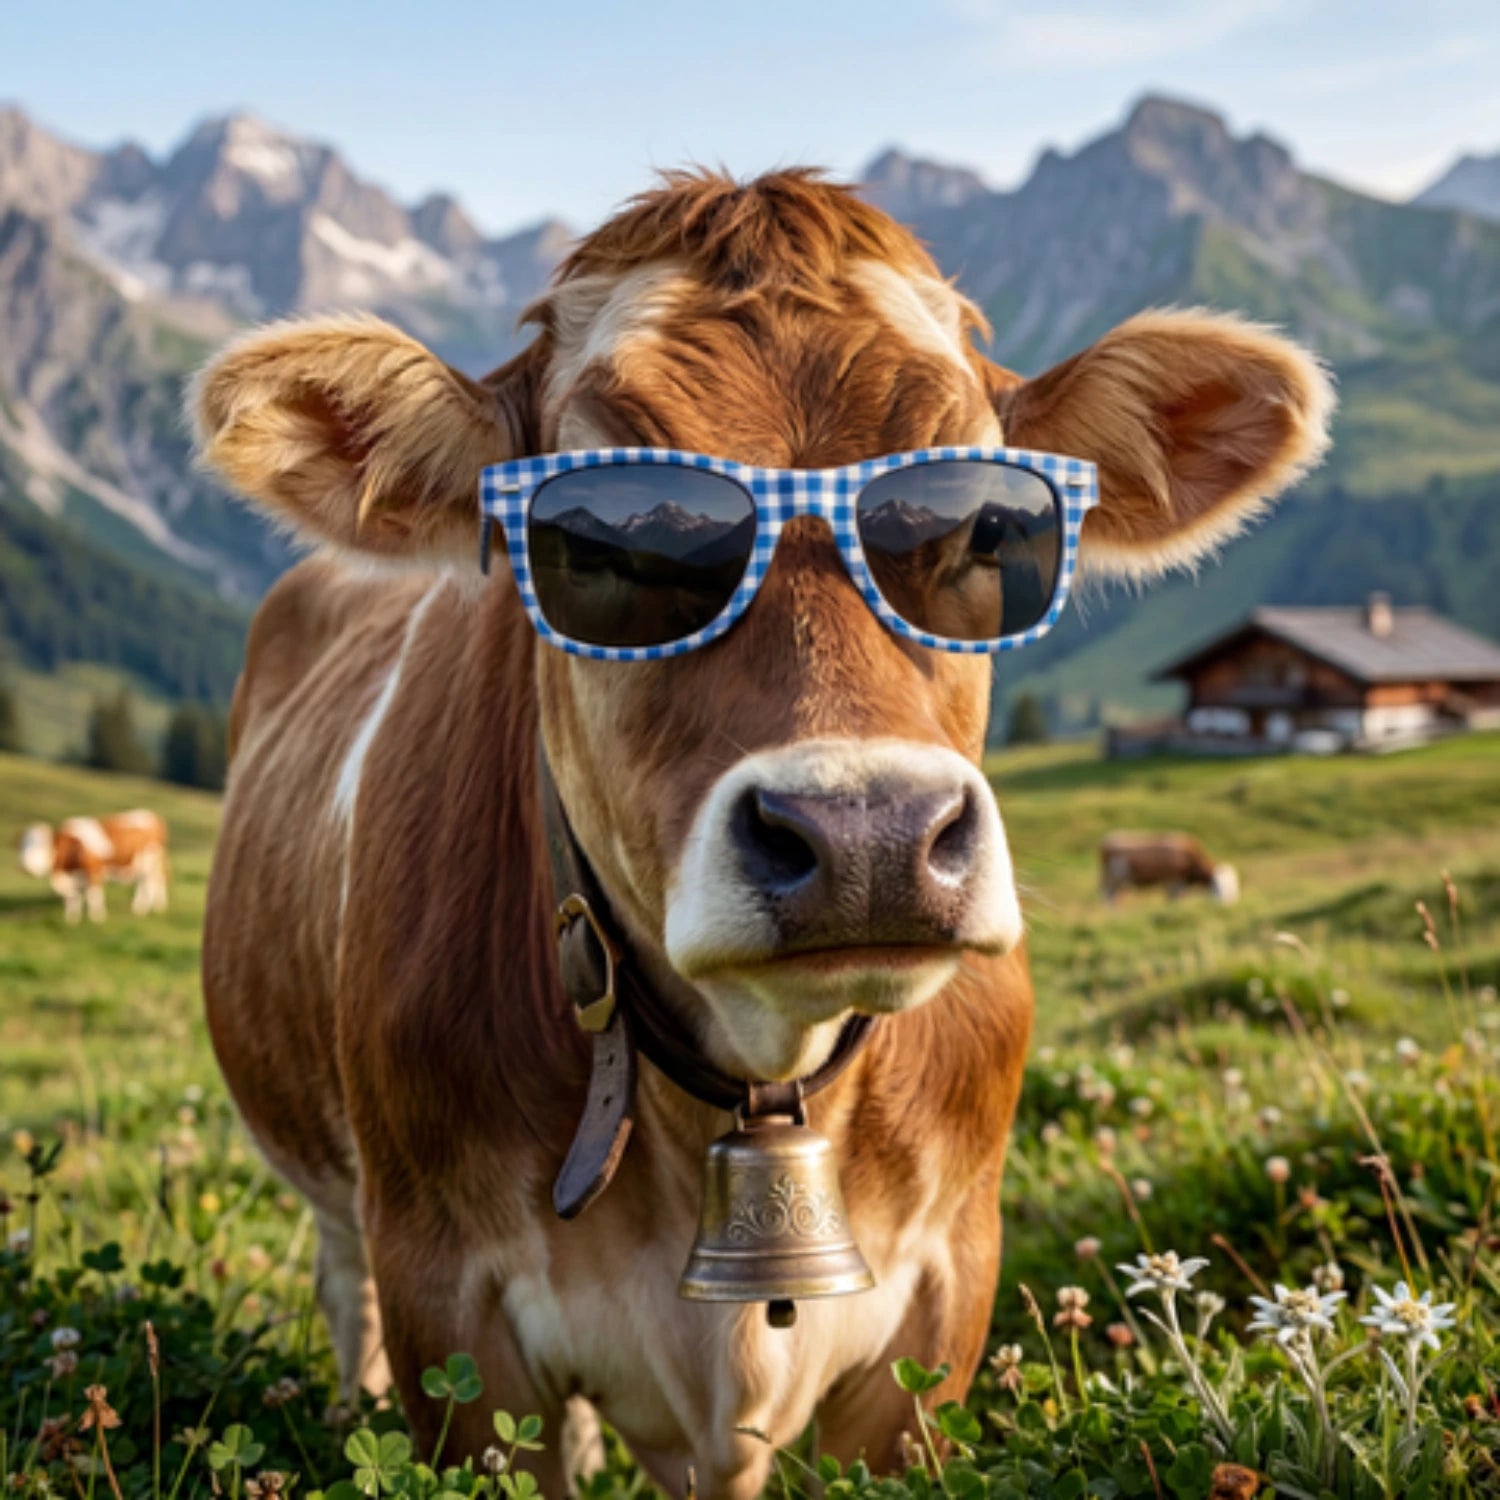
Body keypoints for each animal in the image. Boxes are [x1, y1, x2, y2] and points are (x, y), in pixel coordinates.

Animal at [18, 810, 169, 923]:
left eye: (42, 845)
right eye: (23, 846)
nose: (25, 866)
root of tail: (151, 814)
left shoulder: (94, 871)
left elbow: (93, 896)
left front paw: (97, 919)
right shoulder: (72, 878)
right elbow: (72, 899)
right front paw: (72, 920)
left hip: (151, 860)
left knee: (153, 882)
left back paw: (149, 908)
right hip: (141, 864)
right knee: (145, 882)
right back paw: (140, 908)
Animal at [1099, 831, 1240, 904]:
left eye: (1233, 884)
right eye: (1217, 884)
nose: (1228, 903)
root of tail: (1107, 840)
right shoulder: (1174, 880)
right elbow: (1174, 899)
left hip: (1120, 881)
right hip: (1112, 878)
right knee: (1107, 896)